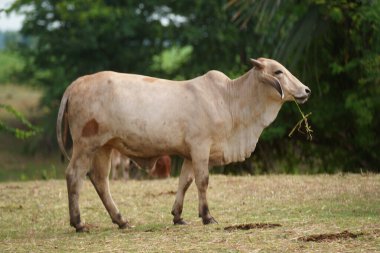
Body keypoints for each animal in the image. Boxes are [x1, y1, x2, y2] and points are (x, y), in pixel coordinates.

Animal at [57, 57, 312, 231]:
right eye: (278, 71)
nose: (306, 90)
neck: (229, 100)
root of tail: (76, 83)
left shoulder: (190, 153)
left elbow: (185, 182)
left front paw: (178, 216)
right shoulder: (200, 147)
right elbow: (202, 181)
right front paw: (207, 216)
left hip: (104, 147)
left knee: (100, 180)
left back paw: (120, 220)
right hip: (86, 144)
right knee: (74, 175)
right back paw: (79, 223)